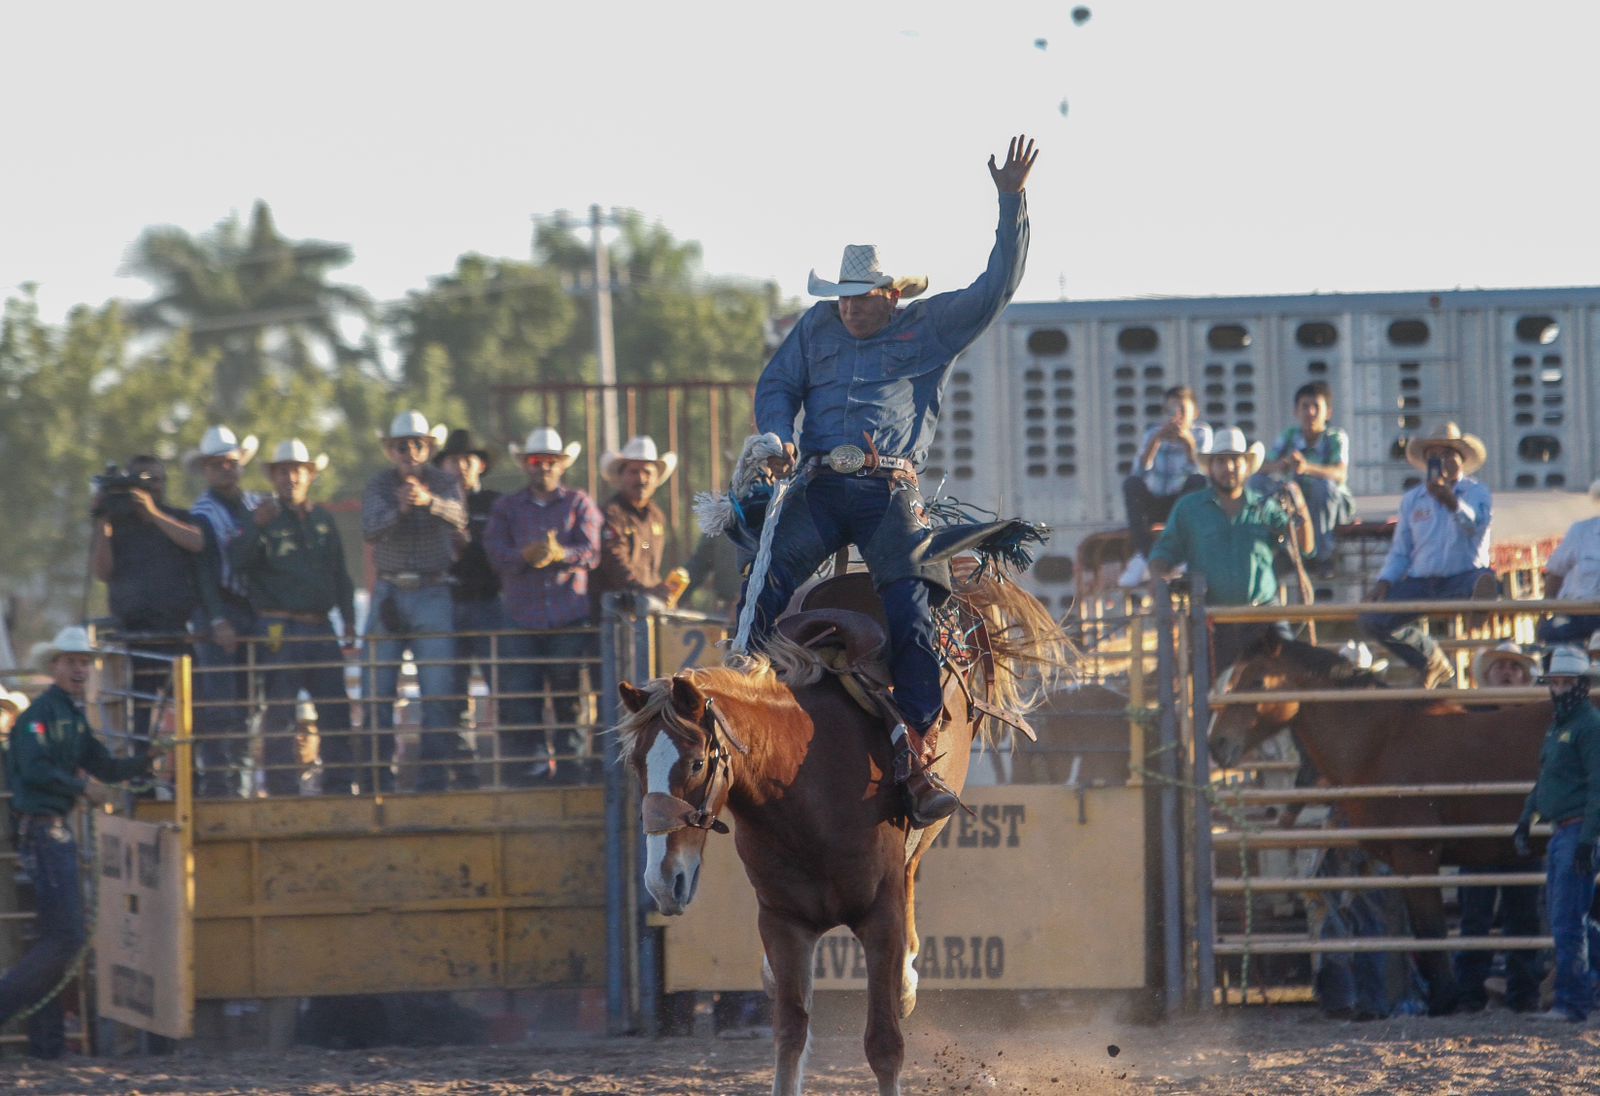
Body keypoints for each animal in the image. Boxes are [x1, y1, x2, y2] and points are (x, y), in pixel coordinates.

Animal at [617, 576, 1068, 1088]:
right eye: (636, 765)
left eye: (696, 763)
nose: (661, 881)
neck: (802, 785)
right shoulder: (782, 921)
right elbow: (790, 1035)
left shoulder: (880, 915)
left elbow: (884, 1043)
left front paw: (898, 994)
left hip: (923, 837)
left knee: (912, 872)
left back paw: (906, 981)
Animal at [1209, 633, 1548, 1017]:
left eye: (1256, 681)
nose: (1216, 744)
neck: (1380, 741)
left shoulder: (1417, 855)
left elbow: (1431, 931)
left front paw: (1444, 1001)